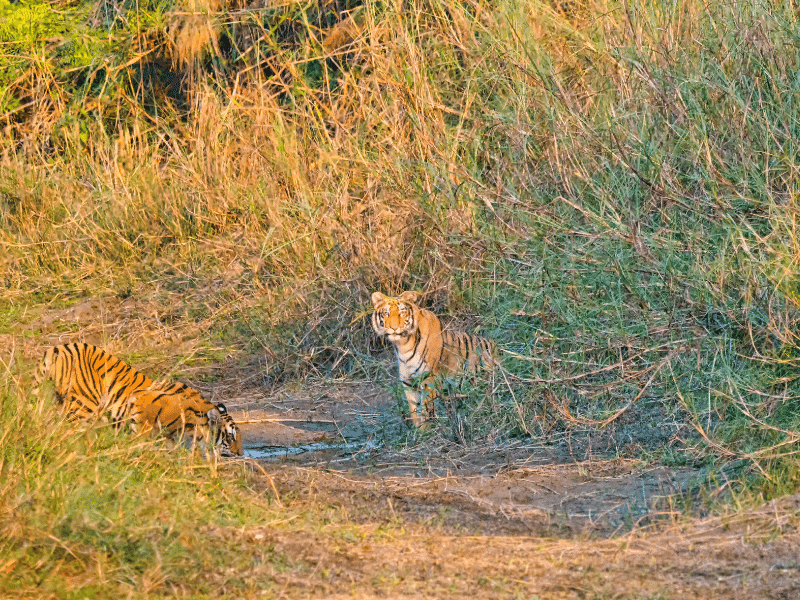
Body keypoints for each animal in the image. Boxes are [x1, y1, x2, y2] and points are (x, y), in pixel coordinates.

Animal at [32, 344, 244, 458]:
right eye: (230, 436)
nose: (240, 454)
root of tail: (57, 349)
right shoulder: (142, 405)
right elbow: (139, 436)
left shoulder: (170, 435)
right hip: (84, 406)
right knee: (72, 433)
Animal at [372, 290, 496, 426]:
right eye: (386, 313)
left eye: (402, 313)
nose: (394, 328)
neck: (403, 346)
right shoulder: (409, 382)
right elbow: (414, 411)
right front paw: (420, 430)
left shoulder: (428, 378)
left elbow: (426, 409)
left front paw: (429, 427)